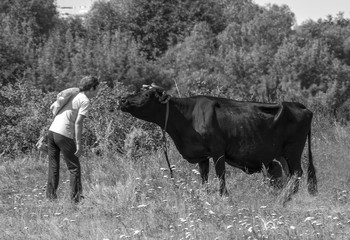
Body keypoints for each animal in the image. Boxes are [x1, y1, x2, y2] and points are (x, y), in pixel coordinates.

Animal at [119, 85, 318, 198]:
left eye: (147, 95)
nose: (122, 99)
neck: (186, 117)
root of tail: (299, 105)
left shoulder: (217, 150)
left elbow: (220, 174)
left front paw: (223, 196)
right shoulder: (201, 156)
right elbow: (204, 177)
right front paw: (206, 195)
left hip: (293, 150)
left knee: (297, 173)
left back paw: (288, 196)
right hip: (282, 154)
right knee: (290, 174)